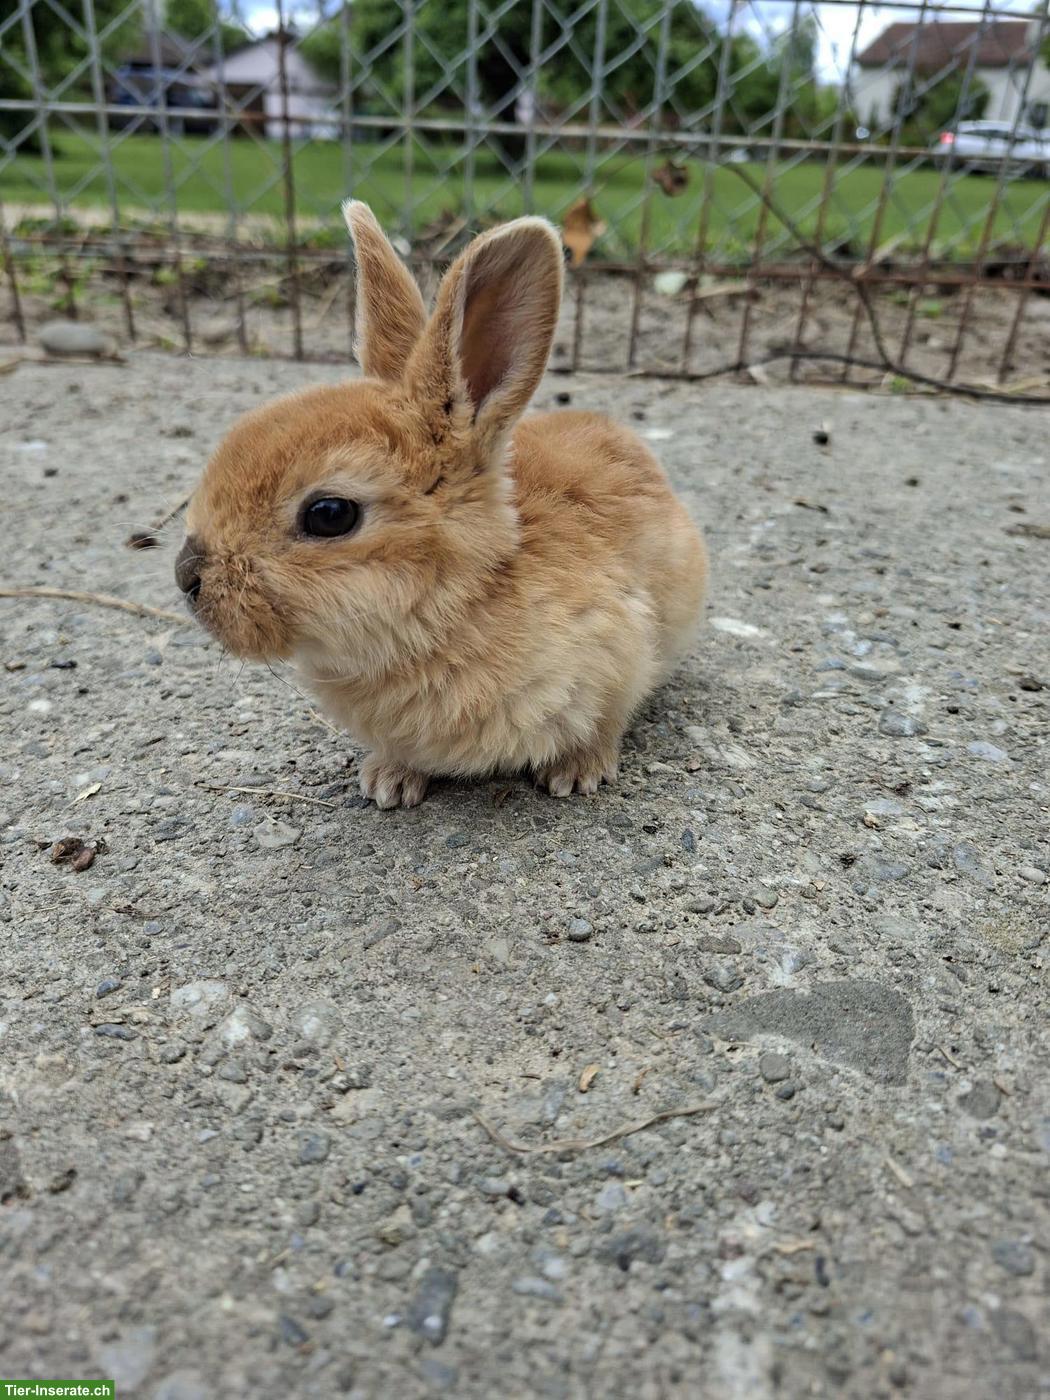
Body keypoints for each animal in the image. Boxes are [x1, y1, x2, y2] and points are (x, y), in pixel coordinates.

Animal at [175, 201, 708, 808]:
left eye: (330, 514)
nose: (186, 576)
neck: (459, 602)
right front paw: (388, 783)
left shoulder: (621, 652)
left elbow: (603, 721)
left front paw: (576, 773)